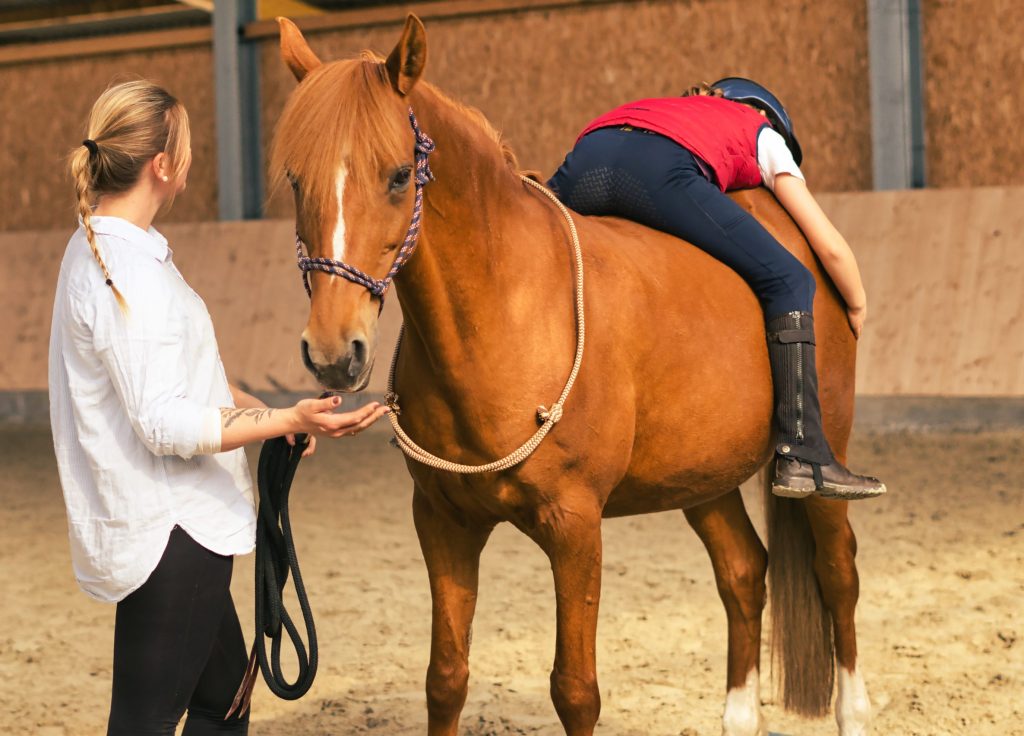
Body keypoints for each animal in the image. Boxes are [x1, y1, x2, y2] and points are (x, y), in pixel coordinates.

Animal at [270, 15, 872, 736]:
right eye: (296, 180)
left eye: (397, 176)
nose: (335, 352)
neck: (508, 314)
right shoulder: (442, 523)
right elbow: (445, 679)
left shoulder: (575, 528)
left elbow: (576, 691)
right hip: (704, 477)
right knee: (743, 572)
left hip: (821, 465)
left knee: (837, 572)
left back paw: (854, 711)